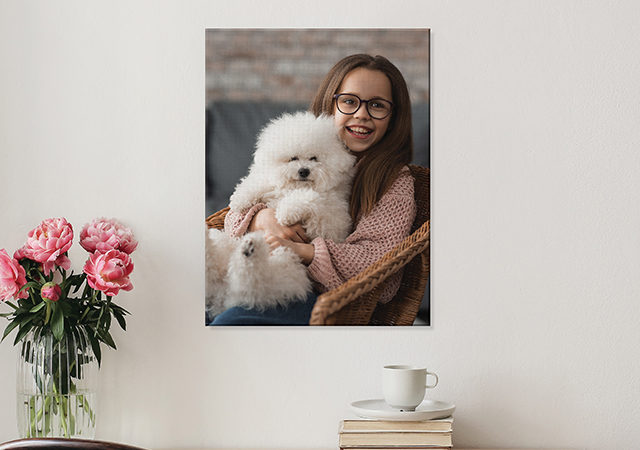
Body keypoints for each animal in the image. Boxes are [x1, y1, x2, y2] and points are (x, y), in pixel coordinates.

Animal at [205, 110, 356, 318]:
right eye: (293, 158)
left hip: (286, 268)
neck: (293, 187)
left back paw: (249, 254)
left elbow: (309, 198)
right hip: (228, 244)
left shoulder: (331, 222)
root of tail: (224, 293)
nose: (304, 171)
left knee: (254, 281)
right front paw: (240, 200)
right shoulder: (268, 182)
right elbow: (257, 183)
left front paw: (286, 213)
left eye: (314, 158)